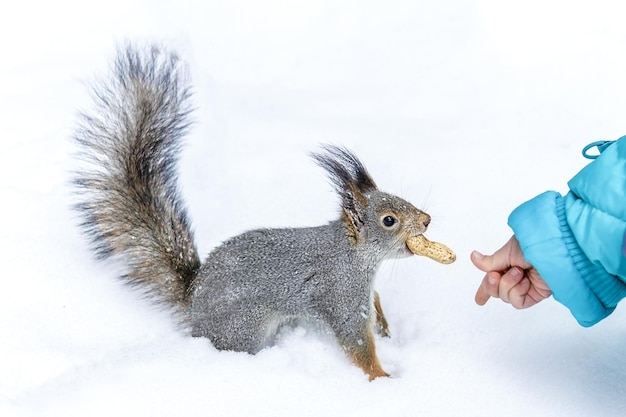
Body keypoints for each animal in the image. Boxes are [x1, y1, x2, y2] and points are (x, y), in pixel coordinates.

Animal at [73, 43, 432, 380]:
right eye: (389, 220)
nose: (427, 220)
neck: (353, 255)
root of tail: (194, 302)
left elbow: (375, 303)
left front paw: (383, 324)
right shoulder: (339, 292)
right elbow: (355, 341)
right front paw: (382, 377)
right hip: (247, 327)